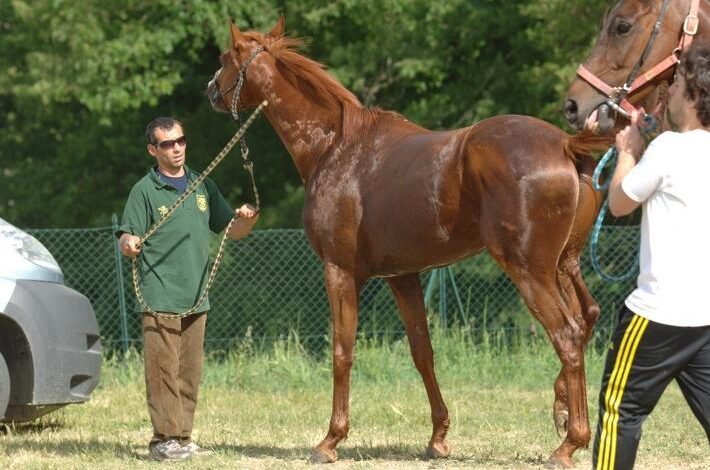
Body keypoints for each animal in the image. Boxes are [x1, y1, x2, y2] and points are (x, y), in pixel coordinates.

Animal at [207, 17, 612, 466]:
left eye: (224, 58)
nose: (211, 92)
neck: (335, 147)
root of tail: (564, 145)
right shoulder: (404, 277)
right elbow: (423, 353)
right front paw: (438, 437)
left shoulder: (339, 271)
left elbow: (342, 351)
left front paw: (331, 440)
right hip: (563, 265)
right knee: (586, 318)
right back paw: (564, 415)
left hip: (530, 272)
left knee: (567, 336)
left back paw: (569, 442)